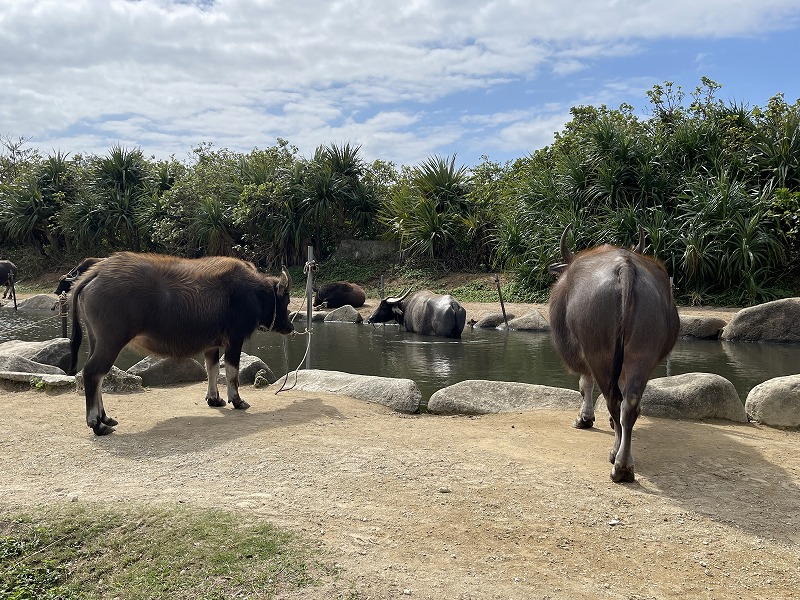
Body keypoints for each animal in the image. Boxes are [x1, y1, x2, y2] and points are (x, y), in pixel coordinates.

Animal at [69, 253, 294, 436]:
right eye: (286, 301)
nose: (290, 327)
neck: (254, 293)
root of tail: (96, 272)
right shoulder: (235, 339)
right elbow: (232, 372)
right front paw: (237, 400)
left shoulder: (211, 344)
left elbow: (212, 369)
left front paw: (214, 399)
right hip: (111, 341)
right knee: (93, 373)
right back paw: (97, 424)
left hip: (96, 339)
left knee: (96, 375)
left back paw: (106, 418)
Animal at [548, 225, 680, 482]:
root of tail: (625, 268)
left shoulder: (583, 355)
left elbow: (585, 384)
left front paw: (584, 418)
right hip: (642, 353)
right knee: (630, 403)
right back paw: (625, 463)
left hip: (599, 353)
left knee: (614, 400)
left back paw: (617, 460)